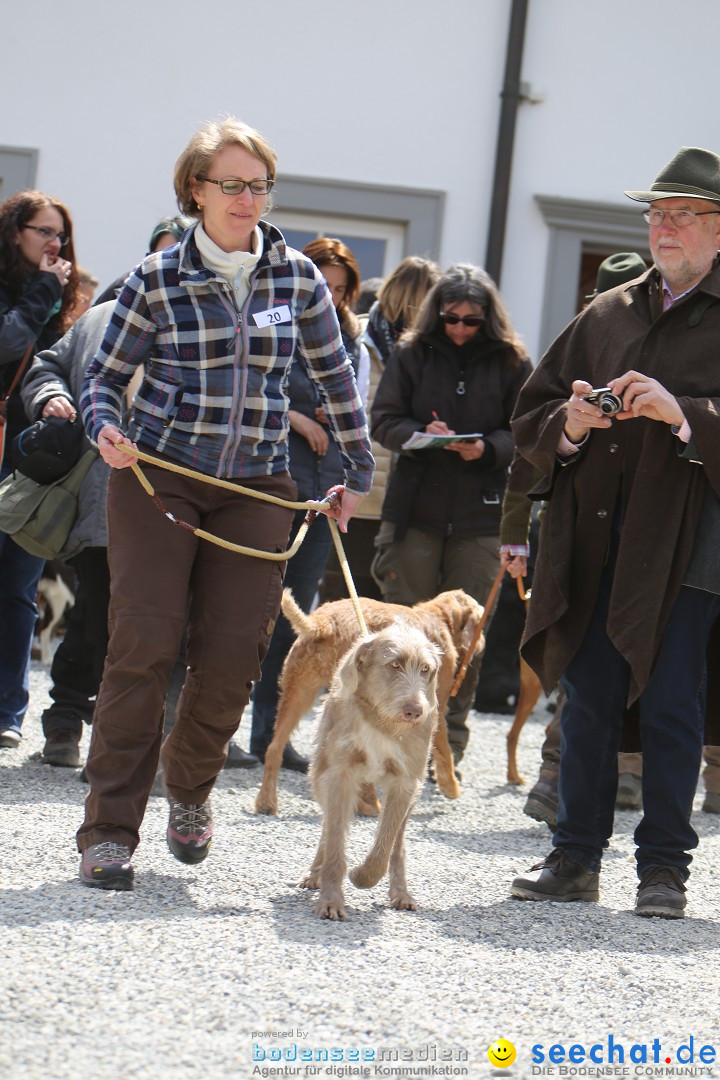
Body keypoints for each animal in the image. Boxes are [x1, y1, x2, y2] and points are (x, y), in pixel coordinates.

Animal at [297, 622, 440, 924]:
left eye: (425, 669)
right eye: (394, 664)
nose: (415, 711)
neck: (382, 721)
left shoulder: (405, 783)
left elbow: (385, 847)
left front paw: (362, 876)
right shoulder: (339, 775)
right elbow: (335, 841)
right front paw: (330, 898)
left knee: (397, 844)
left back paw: (401, 892)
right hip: (319, 774)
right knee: (328, 826)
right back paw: (315, 873)